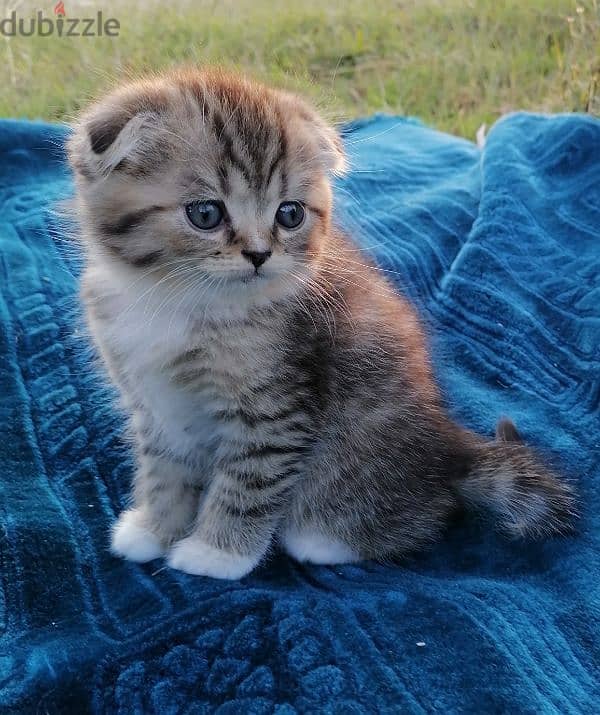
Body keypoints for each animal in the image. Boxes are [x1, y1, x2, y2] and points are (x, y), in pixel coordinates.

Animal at [67, 68, 576, 580]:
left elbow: (249, 483)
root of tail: (452, 449)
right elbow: (164, 473)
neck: (178, 302)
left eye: (289, 214)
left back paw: (327, 540)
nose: (259, 254)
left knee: (427, 515)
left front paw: (217, 553)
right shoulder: (155, 406)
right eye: (205, 213)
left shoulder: (277, 408)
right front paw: (156, 529)